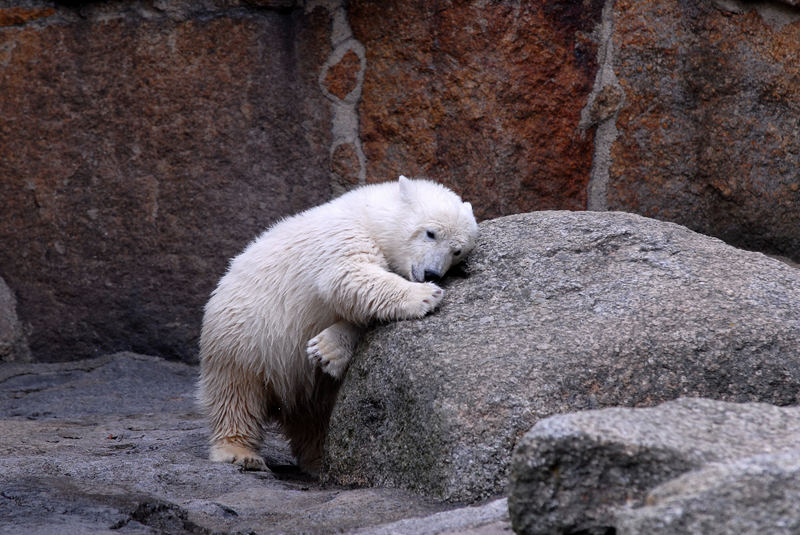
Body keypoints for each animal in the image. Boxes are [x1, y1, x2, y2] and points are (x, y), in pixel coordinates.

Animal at [198, 176, 478, 474]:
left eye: (457, 250)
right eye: (430, 233)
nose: (431, 273)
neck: (372, 216)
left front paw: (328, 350)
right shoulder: (342, 236)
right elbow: (350, 276)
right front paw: (425, 295)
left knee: (317, 415)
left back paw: (319, 459)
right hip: (244, 338)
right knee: (235, 393)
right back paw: (240, 452)